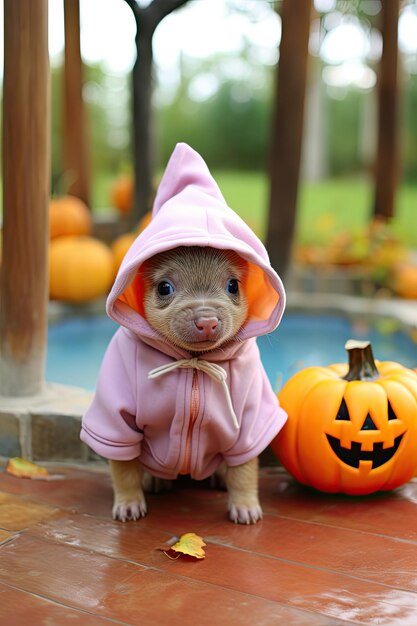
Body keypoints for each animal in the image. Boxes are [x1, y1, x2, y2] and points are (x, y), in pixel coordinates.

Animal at [83, 141, 288, 520]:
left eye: (233, 286)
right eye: (165, 288)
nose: (206, 319)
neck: (194, 361)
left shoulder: (249, 422)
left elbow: (244, 469)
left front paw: (245, 506)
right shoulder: (116, 421)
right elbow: (124, 467)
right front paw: (129, 502)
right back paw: (156, 481)